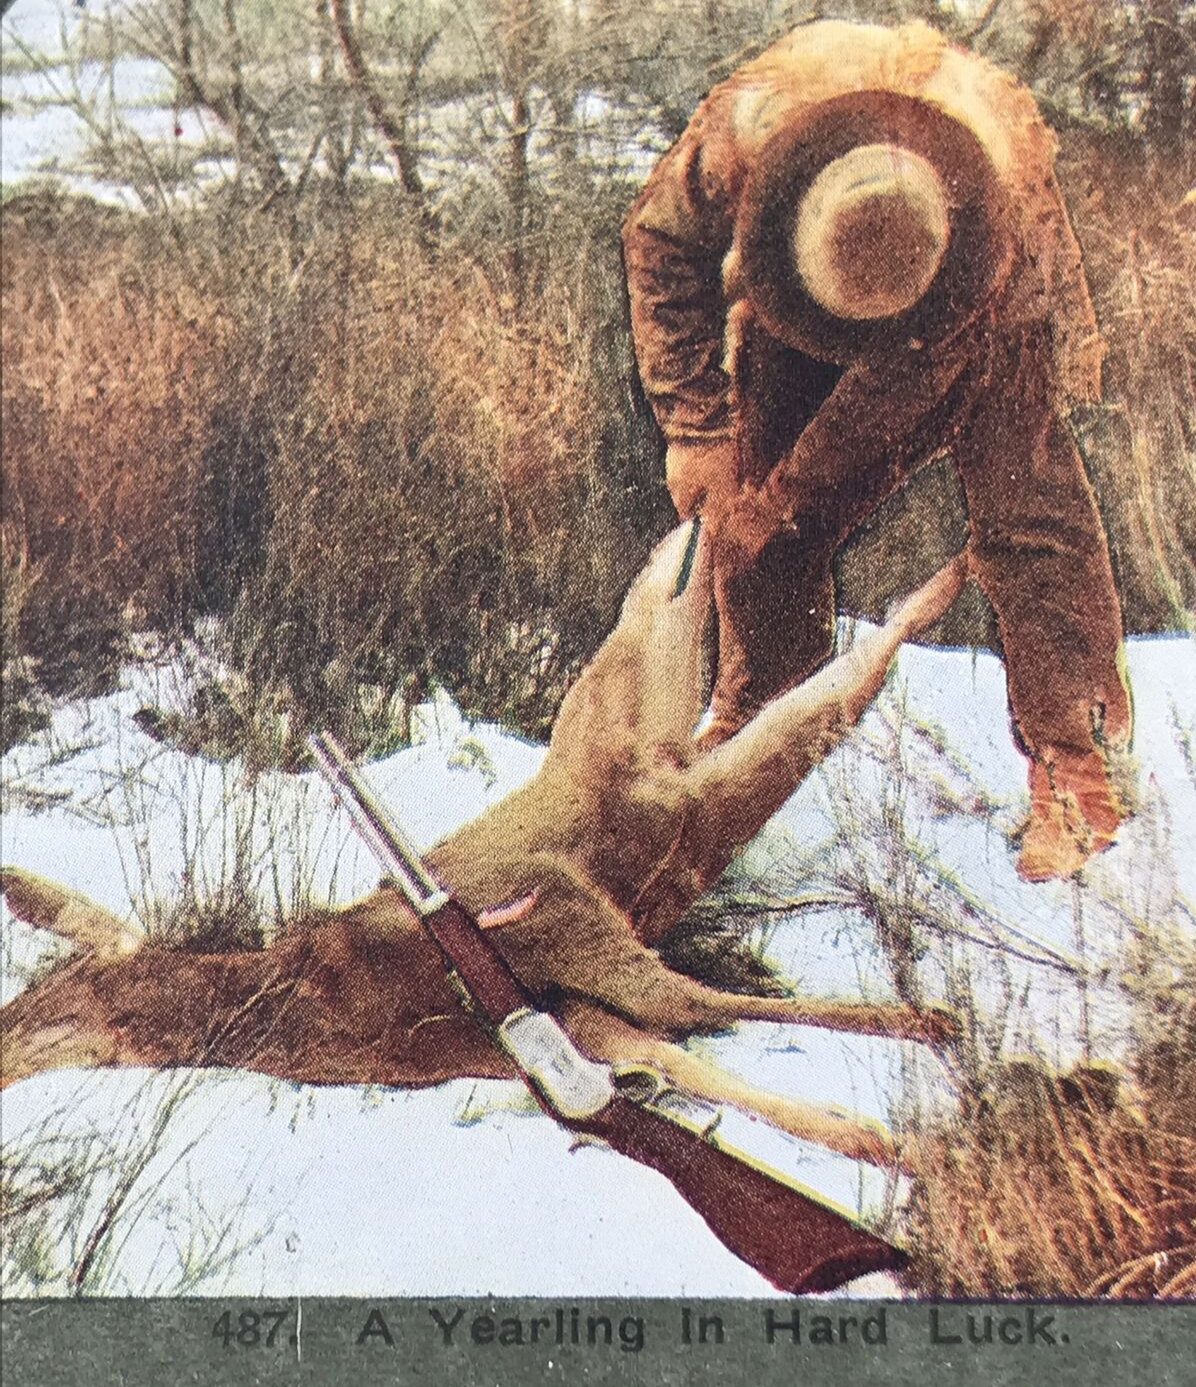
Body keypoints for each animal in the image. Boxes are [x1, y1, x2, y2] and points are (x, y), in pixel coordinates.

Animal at [1, 523, 966, 1174]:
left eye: (44, 993)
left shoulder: (560, 924)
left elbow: (693, 1001)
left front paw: (913, 1061)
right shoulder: (560, 1021)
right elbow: (681, 1042)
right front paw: (882, 1129)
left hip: (629, 714)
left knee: (700, 583)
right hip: (684, 770)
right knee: (811, 684)